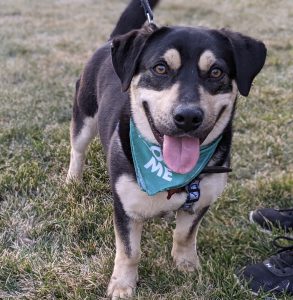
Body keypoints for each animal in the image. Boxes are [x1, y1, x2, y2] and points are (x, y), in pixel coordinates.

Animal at [65, 0, 264, 298]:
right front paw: (122, 285)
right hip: (84, 112)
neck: (167, 172)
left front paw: (186, 263)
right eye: (160, 68)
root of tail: (111, 42)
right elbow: (129, 251)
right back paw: (73, 180)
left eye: (216, 72)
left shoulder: (201, 200)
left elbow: (185, 234)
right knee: (77, 149)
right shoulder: (125, 206)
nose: (188, 117)